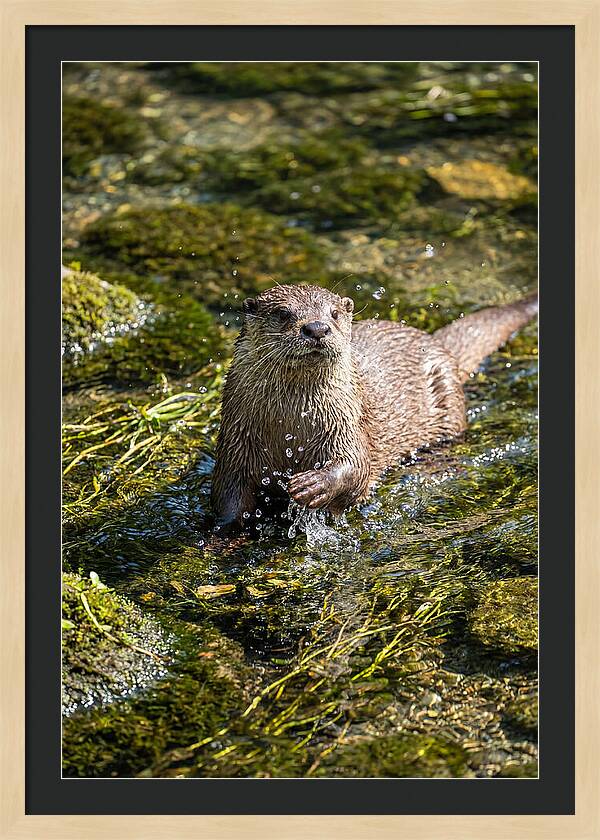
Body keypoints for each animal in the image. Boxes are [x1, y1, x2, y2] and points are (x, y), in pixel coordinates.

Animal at [211, 284, 537, 528]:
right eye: (282, 313)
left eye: (334, 313)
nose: (317, 328)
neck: (291, 427)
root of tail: (436, 343)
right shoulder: (235, 443)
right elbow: (229, 497)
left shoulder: (347, 425)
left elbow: (357, 467)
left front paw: (313, 485)